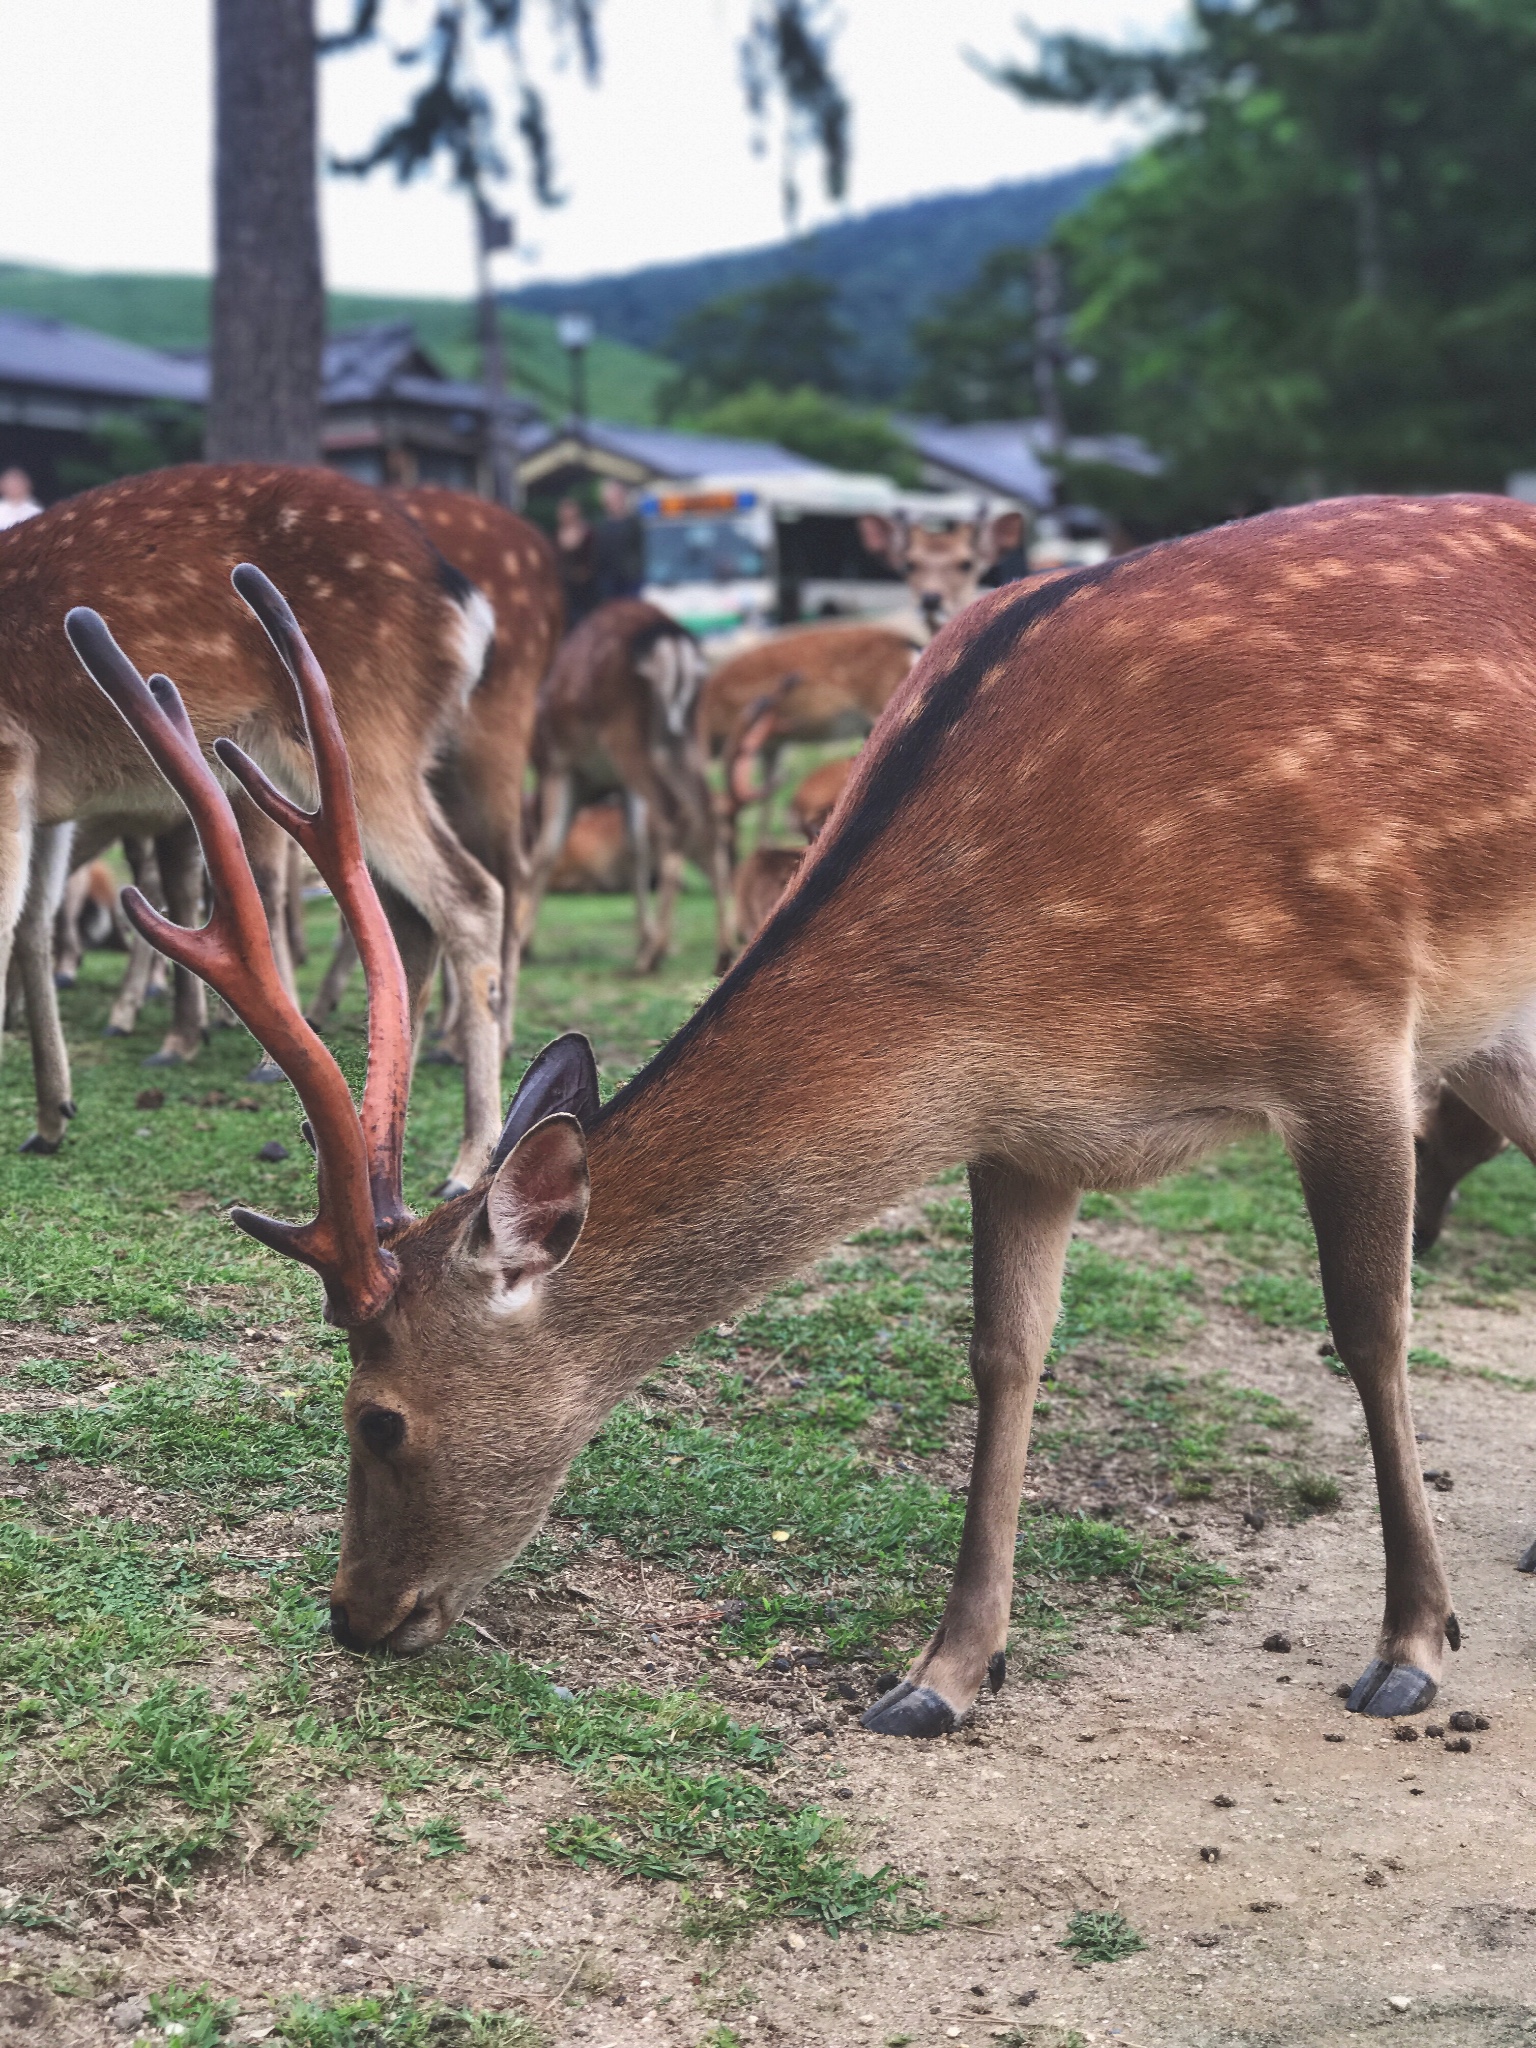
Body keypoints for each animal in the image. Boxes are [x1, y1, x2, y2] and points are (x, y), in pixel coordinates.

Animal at [0, 456, 505, 1196]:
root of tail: (465, 604)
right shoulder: (47, 796)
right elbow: (34, 926)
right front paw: (51, 1117)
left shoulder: (9, 756)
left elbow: (7, 925)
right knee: (408, 917)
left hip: (364, 730)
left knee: (470, 894)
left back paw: (468, 1164)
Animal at [528, 598, 737, 974]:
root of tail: (672, 641)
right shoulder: (620, 784)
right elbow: (635, 847)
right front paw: (642, 936)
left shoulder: (559, 767)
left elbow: (545, 850)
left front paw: (524, 943)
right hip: (684, 738)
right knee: (707, 816)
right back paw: (723, 950)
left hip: (625, 734)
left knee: (675, 814)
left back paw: (653, 954)